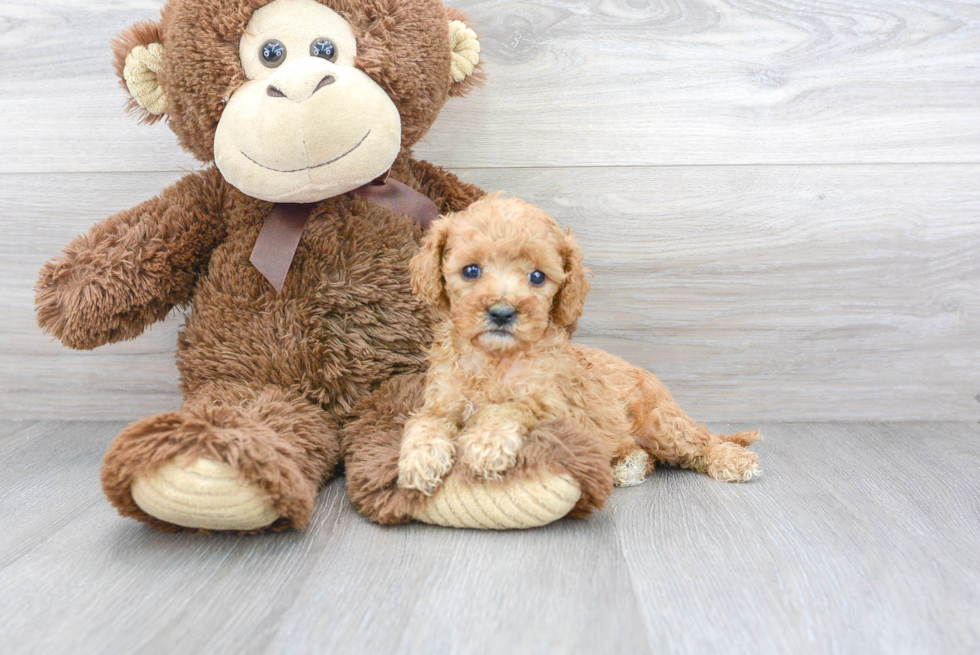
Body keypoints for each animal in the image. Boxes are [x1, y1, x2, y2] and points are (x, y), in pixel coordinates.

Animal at [394, 195, 760, 498]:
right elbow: (424, 423)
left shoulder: (557, 410)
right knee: (645, 452)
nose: (502, 313)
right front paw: (420, 459)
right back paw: (628, 468)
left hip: (661, 423)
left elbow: (511, 407)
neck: (494, 358)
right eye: (471, 270)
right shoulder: (441, 403)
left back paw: (734, 461)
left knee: (701, 441)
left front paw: (487, 443)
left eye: (537, 277)